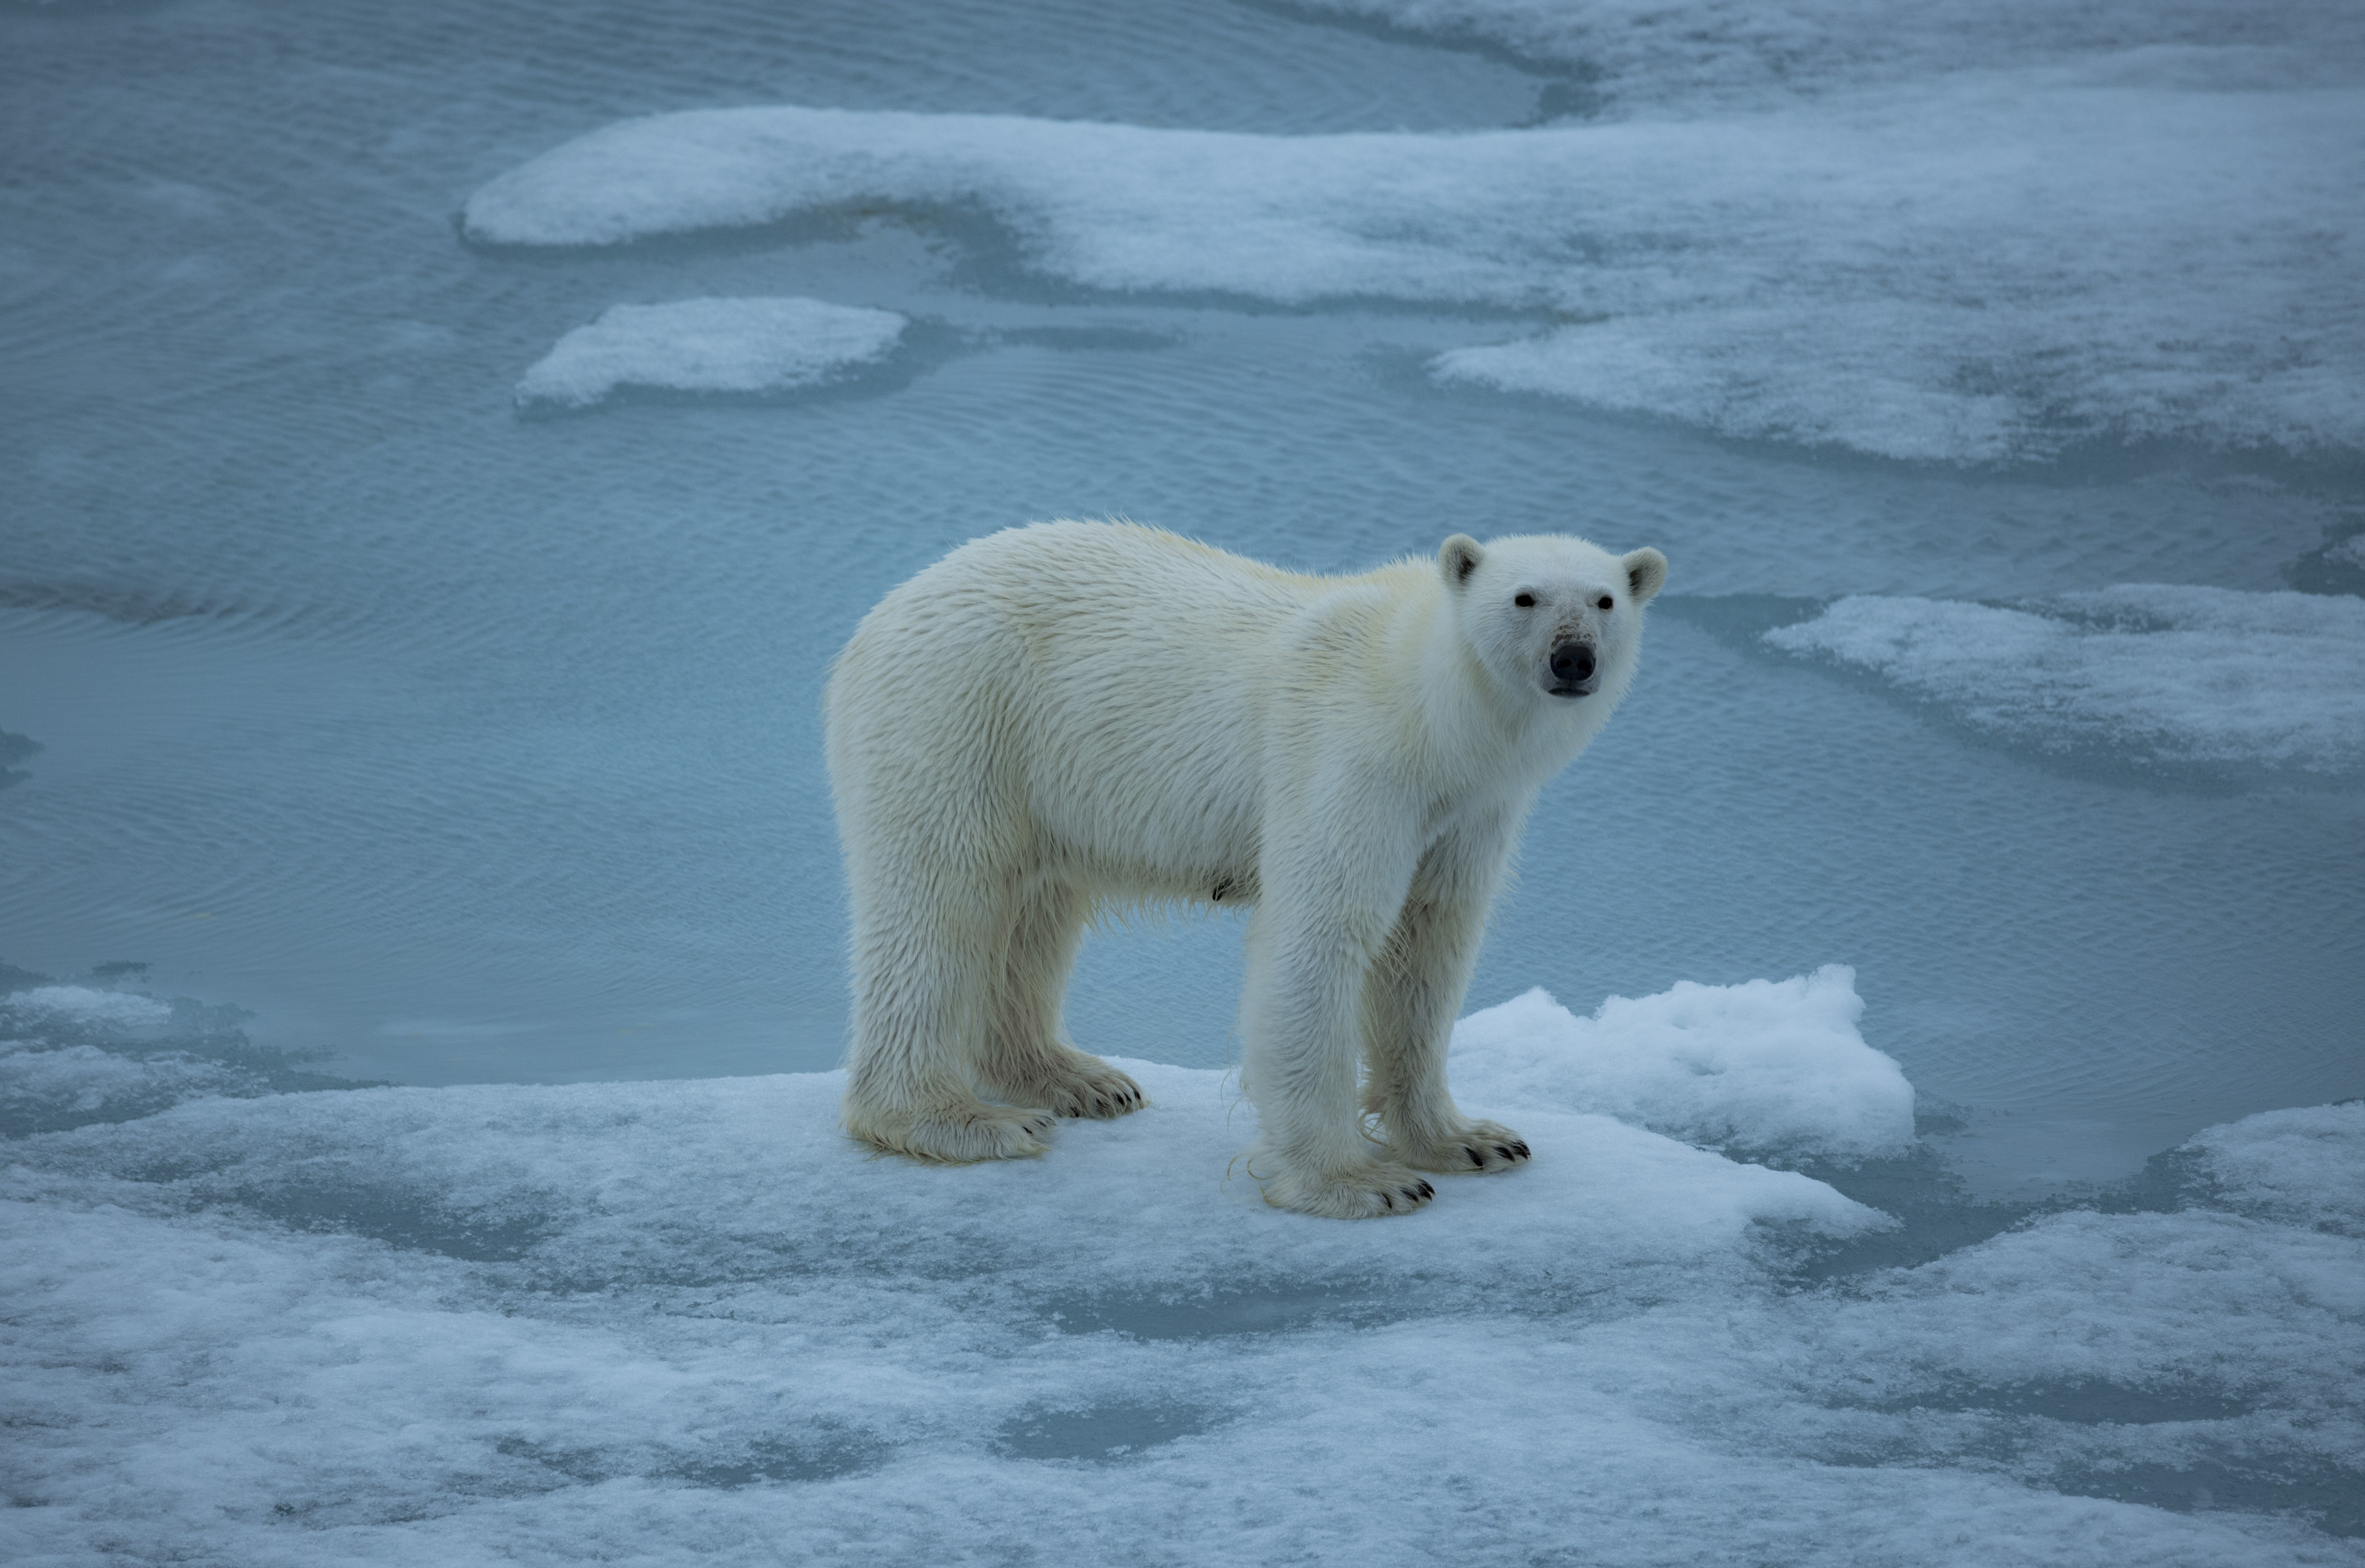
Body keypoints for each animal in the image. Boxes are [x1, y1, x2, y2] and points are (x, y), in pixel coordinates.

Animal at [827, 520, 1665, 1220]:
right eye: (1524, 597)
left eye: (1604, 600)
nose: (1573, 658)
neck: (1429, 712)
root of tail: (883, 613)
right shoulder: (1350, 760)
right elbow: (1322, 932)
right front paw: (1363, 1183)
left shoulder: (1468, 811)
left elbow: (1431, 944)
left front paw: (1472, 1139)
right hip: (962, 713)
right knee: (940, 898)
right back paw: (957, 1120)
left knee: (1033, 913)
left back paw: (1080, 1079)